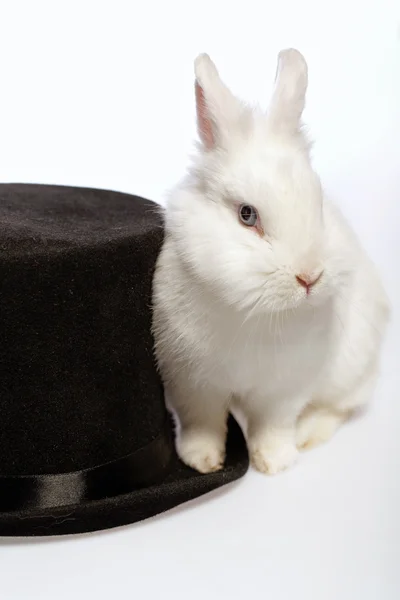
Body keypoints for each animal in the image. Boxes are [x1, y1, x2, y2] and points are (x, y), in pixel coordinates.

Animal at [152, 49, 390, 476]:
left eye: (318, 205)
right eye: (247, 215)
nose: (309, 277)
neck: (256, 313)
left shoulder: (285, 389)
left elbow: (274, 425)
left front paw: (276, 462)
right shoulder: (192, 384)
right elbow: (203, 423)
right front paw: (202, 462)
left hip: (352, 367)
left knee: (339, 407)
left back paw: (309, 435)